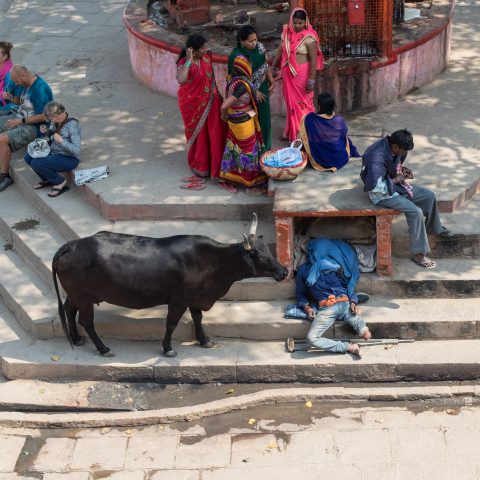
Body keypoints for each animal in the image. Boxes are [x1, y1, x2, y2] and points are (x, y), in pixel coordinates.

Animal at [52, 214, 286, 356]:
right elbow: (171, 323)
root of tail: (71, 245)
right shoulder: (179, 299)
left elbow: (198, 318)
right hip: (83, 297)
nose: (284, 271)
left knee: (69, 310)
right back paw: (103, 348)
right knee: (86, 321)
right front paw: (167, 348)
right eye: (258, 256)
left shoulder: (195, 297)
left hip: (75, 294)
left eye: (268, 250)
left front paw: (204, 340)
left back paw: (76, 338)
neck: (214, 261)